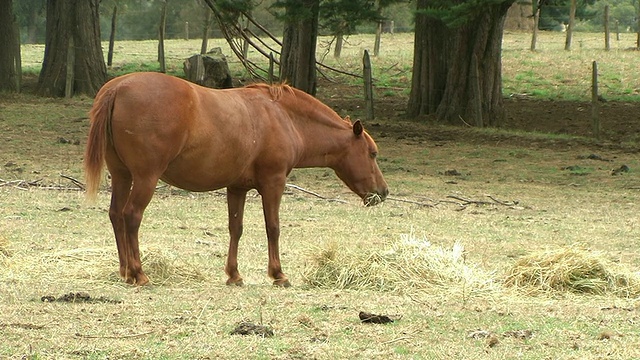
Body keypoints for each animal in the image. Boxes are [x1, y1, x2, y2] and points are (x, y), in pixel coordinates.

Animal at [83, 71, 388, 286]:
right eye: (372, 153)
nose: (383, 192)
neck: (283, 116)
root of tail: (118, 87)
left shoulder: (237, 188)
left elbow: (235, 229)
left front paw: (234, 274)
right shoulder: (273, 183)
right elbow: (273, 228)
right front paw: (278, 274)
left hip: (122, 176)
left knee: (116, 215)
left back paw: (125, 271)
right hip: (145, 178)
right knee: (131, 216)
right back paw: (139, 273)